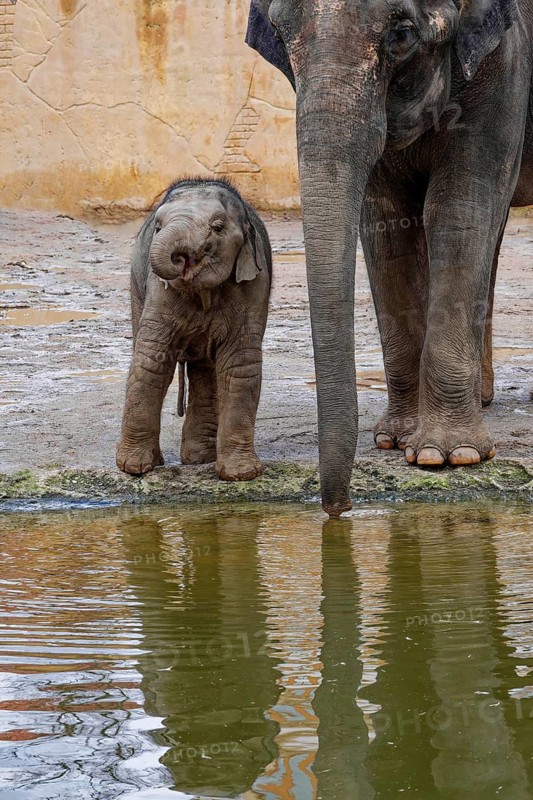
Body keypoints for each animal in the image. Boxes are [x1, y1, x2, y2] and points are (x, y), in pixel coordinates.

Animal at [116, 178, 272, 482]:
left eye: (217, 227)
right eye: (158, 227)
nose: (179, 258)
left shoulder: (254, 286)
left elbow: (240, 364)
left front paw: (241, 474)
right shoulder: (158, 291)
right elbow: (152, 359)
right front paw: (133, 468)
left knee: (206, 371)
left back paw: (199, 458)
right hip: (136, 287)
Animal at [247, 0, 533, 516]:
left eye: (401, 35)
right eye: (280, 32)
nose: (339, 509)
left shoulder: (507, 55)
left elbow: (460, 208)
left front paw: (448, 456)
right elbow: (385, 219)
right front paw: (396, 442)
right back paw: (481, 398)